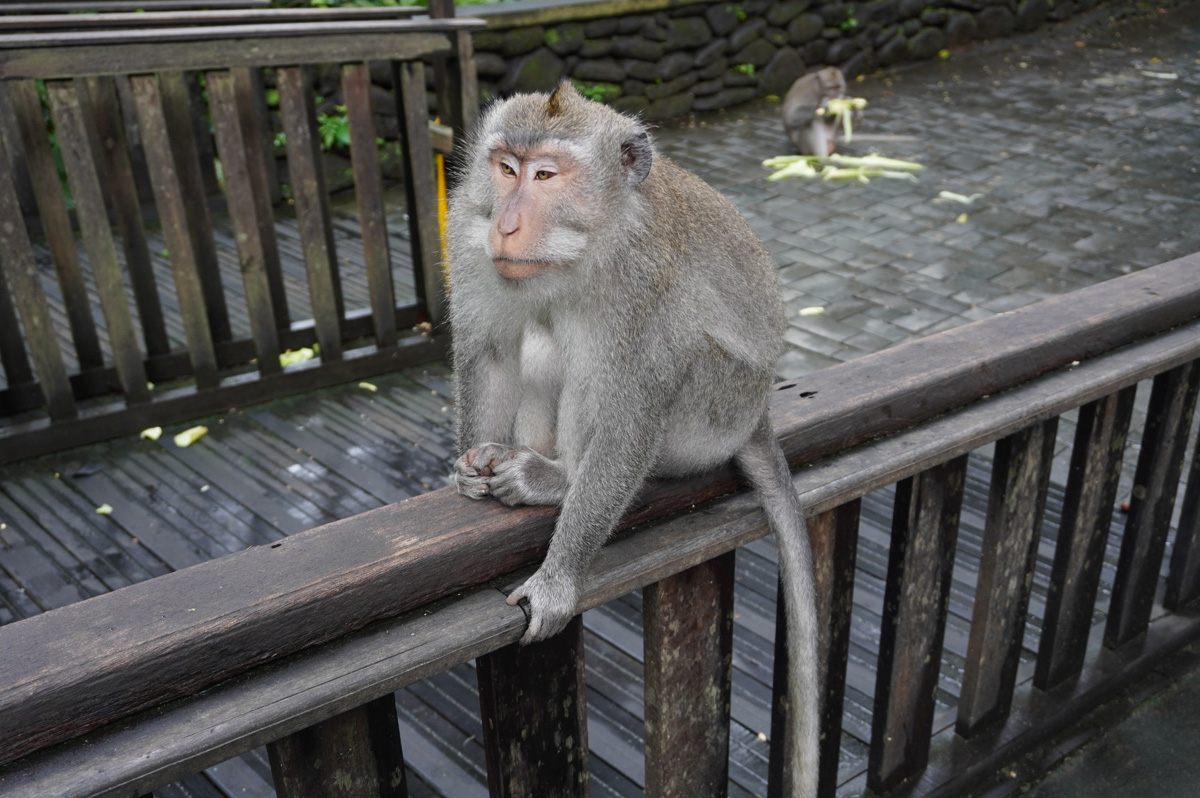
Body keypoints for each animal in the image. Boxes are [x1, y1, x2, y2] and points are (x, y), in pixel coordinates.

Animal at [447, 81, 819, 797]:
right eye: (505, 168)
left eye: (546, 175)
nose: (506, 225)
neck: (587, 244)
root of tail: (757, 413)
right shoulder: (469, 236)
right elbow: (494, 354)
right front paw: (474, 465)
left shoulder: (643, 280)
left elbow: (632, 409)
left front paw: (559, 579)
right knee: (541, 336)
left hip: (714, 411)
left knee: (610, 363)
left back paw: (556, 479)